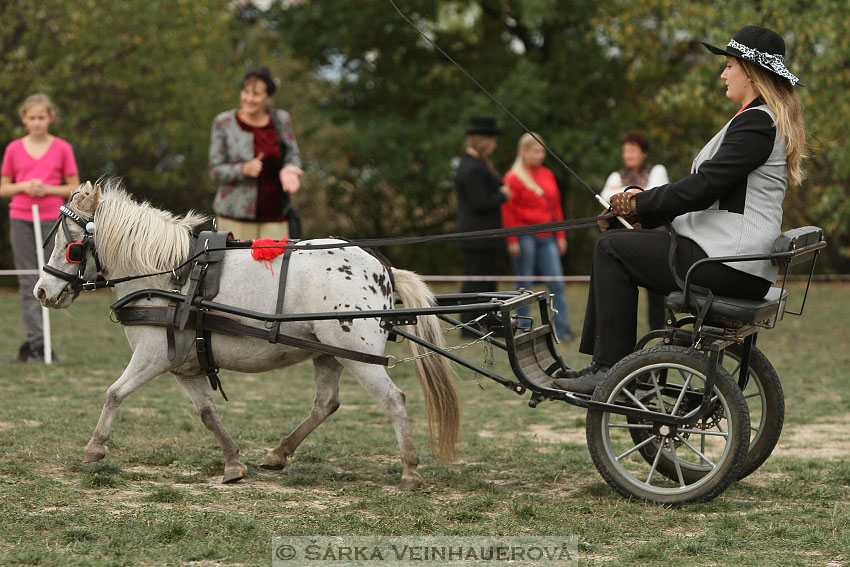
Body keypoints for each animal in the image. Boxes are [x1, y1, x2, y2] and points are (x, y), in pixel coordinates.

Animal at [34, 182, 458, 488]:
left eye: (71, 247)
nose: (42, 291)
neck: (170, 276)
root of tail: (382, 268)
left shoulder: (151, 357)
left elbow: (114, 393)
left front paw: (94, 448)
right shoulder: (183, 365)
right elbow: (207, 412)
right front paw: (234, 462)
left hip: (358, 355)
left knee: (393, 400)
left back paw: (410, 470)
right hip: (328, 353)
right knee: (325, 404)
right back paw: (278, 453)